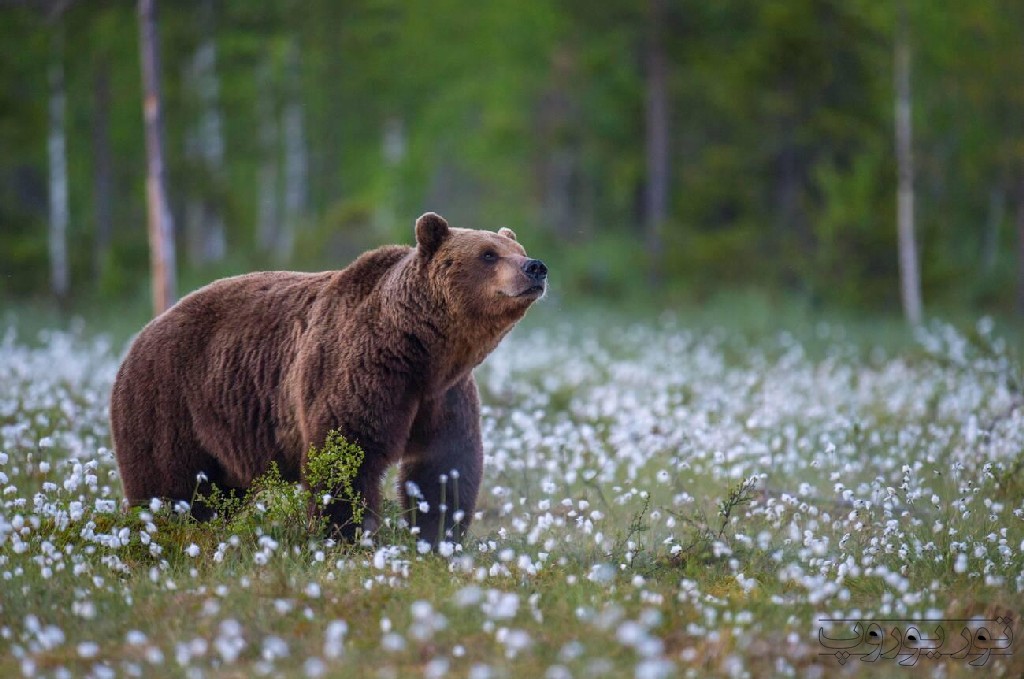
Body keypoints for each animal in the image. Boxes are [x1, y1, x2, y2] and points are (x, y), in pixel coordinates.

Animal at [109, 215, 548, 544]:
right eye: (488, 254)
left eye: (518, 250)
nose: (536, 267)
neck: (423, 350)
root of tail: (140, 335)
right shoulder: (360, 370)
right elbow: (345, 454)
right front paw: (347, 536)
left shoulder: (444, 395)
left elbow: (444, 465)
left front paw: (438, 538)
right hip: (170, 401)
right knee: (168, 486)